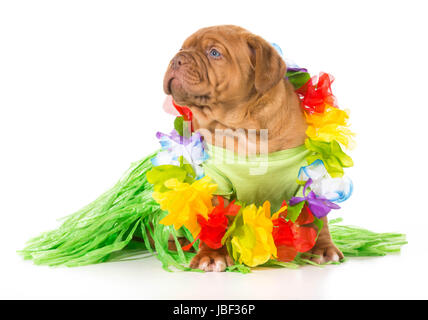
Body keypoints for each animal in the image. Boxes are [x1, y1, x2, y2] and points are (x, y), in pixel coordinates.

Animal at [161, 25, 344, 272]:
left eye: (214, 53)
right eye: (181, 49)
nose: (176, 60)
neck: (242, 127)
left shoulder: (306, 176)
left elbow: (314, 218)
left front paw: (322, 249)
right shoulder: (215, 182)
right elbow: (212, 223)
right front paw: (212, 255)